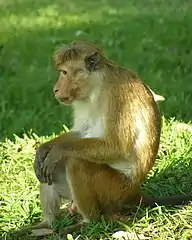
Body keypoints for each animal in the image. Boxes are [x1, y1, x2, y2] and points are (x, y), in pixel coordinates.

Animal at [31, 40, 192, 234]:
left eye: (64, 73)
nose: (55, 89)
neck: (97, 87)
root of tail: (134, 192)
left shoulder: (118, 96)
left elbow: (116, 146)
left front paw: (56, 151)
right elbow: (81, 131)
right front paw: (43, 150)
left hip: (114, 190)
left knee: (76, 162)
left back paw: (88, 222)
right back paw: (46, 224)